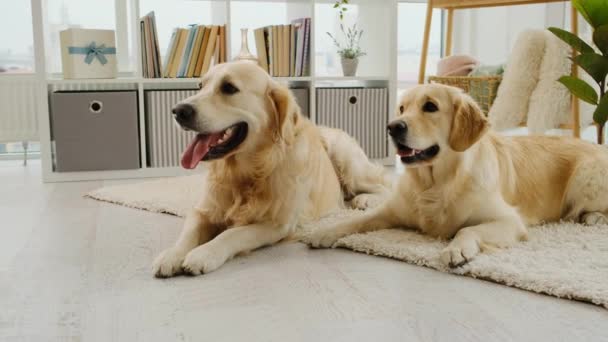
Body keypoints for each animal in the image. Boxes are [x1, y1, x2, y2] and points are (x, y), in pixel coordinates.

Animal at [152, 61, 390, 278]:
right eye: (200, 85)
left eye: (229, 87)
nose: (178, 111)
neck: (248, 172)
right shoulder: (203, 211)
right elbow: (188, 234)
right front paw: (171, 255)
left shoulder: (277, 225)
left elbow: (233, 234)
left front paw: (204, 254)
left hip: (347, 161)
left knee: (383, 185)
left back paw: (365, 199)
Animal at [306, 83, 608, 268]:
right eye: (402, 108)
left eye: (430, 106)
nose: (392, 127)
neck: (435, 183)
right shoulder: (391, 211)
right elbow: (355, 221)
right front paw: (324, 232)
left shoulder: (509, 221)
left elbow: (467, 228)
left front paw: (456, 249)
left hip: (586, 174)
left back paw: (591, 217)